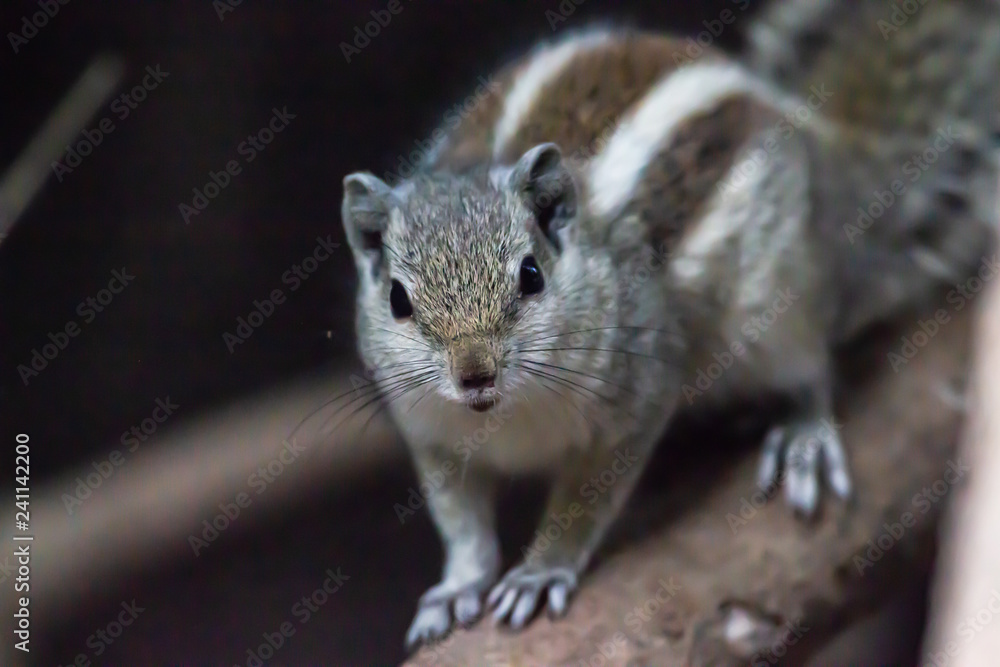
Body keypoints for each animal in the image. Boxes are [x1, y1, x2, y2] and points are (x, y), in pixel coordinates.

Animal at [339, 0, 999, 650]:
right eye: (397, 300)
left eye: (531, 275)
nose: (475, 374)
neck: (509, 415)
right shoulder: (433, 435)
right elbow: (462, 524)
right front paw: (458, 586)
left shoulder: (634, 395)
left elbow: (585, 502)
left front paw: (543, 568)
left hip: (778, 305)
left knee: (810, 371)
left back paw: (802, 435)